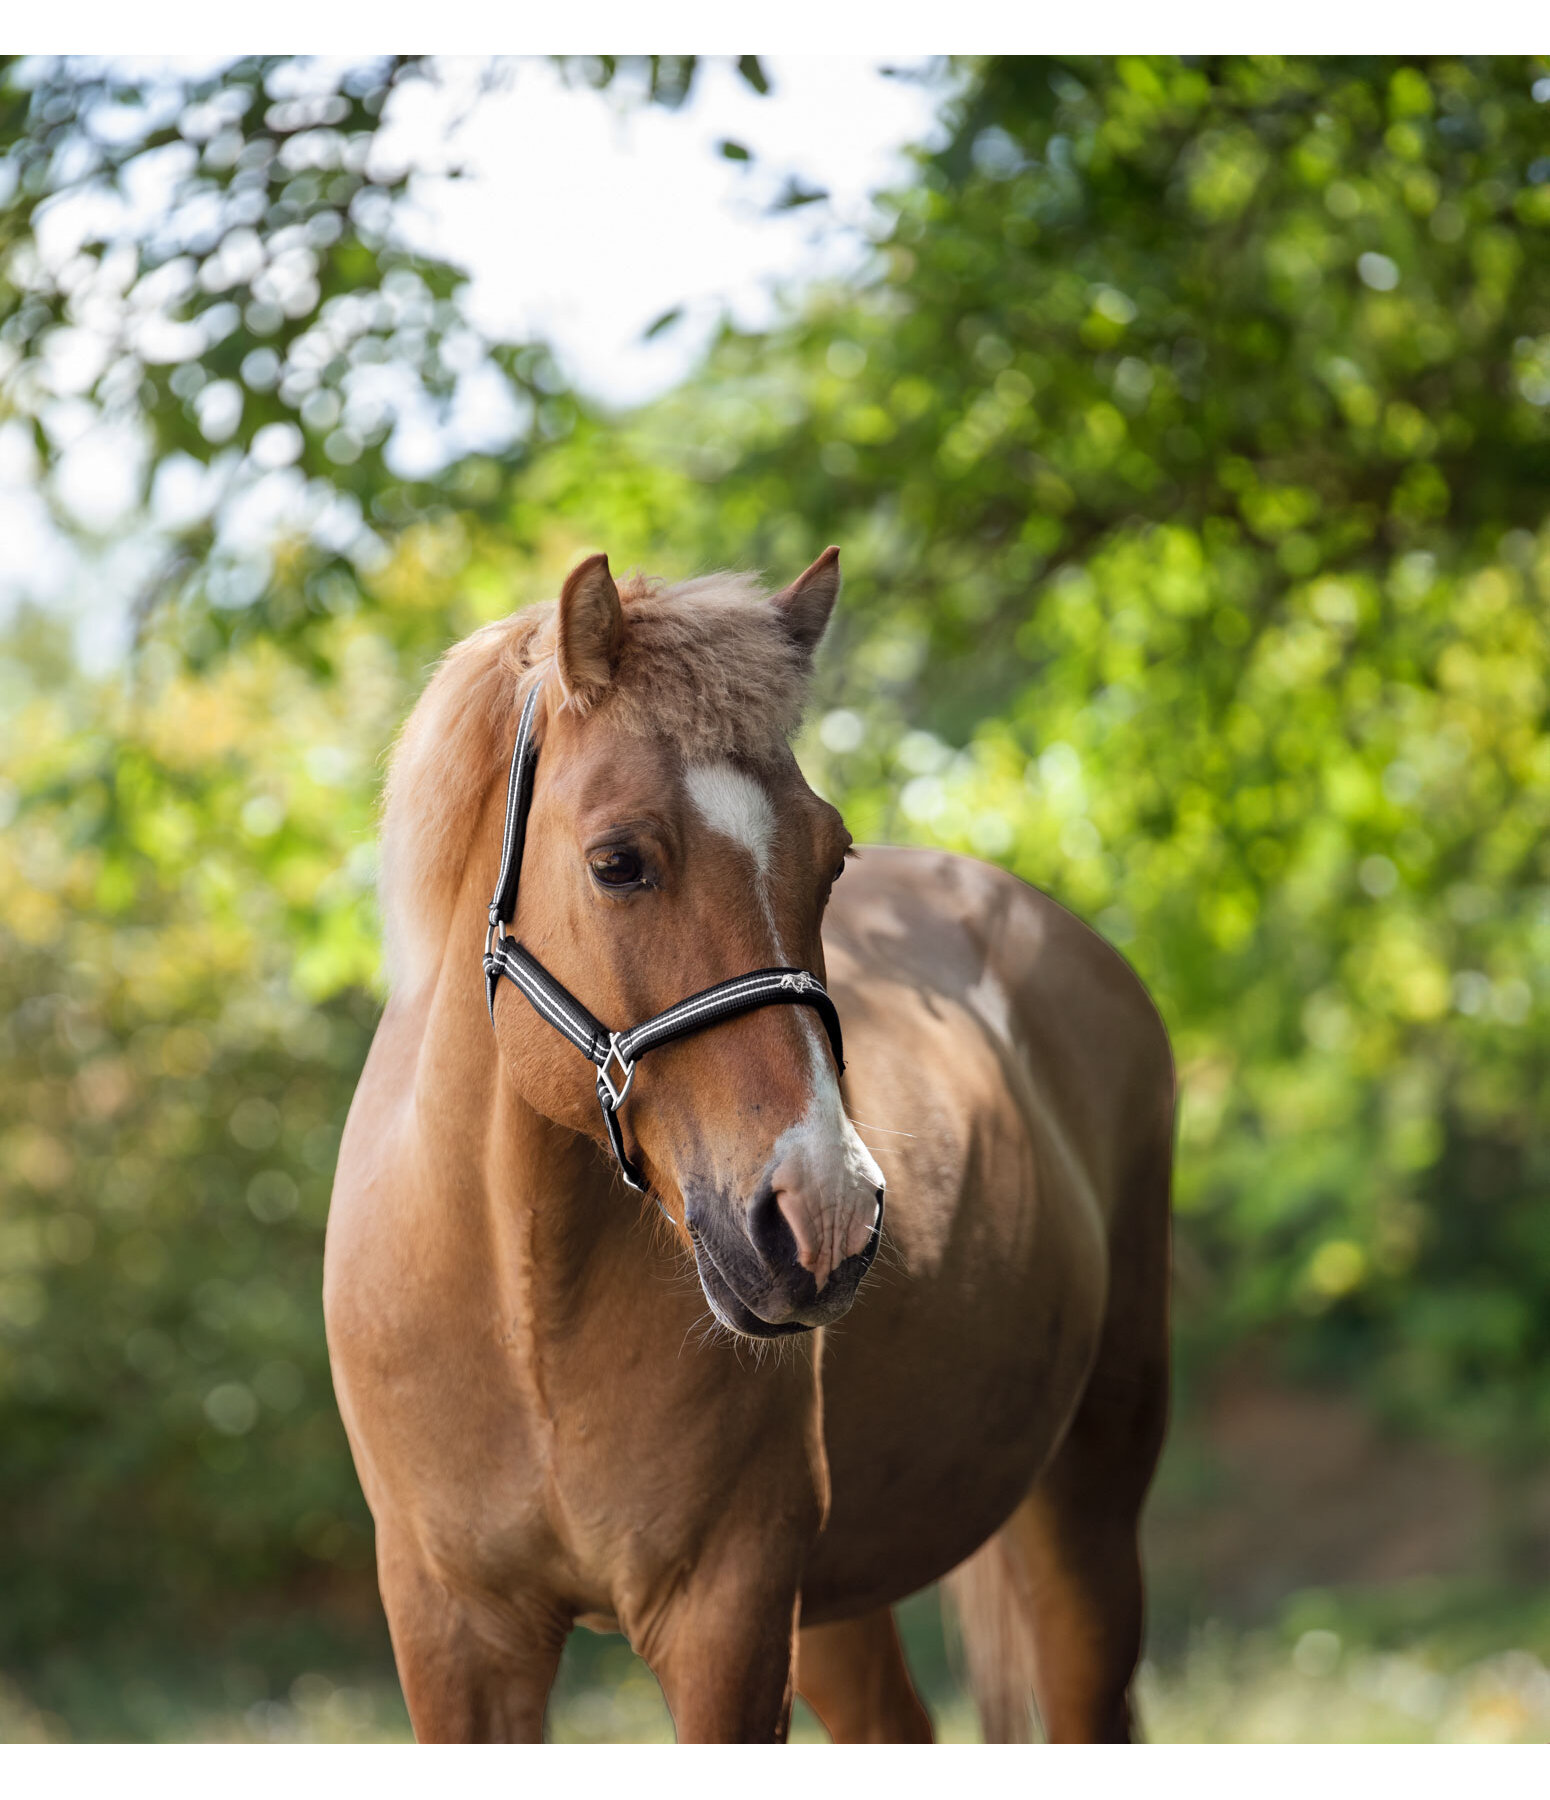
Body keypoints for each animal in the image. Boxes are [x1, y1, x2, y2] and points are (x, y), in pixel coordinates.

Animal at [325, 550, 1173, 1742]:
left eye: (833, 858)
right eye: (617, 862)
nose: (826, 1215)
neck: (519, 1305)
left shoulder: (727, 1611)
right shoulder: (453, 1633)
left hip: (1085, 1509)